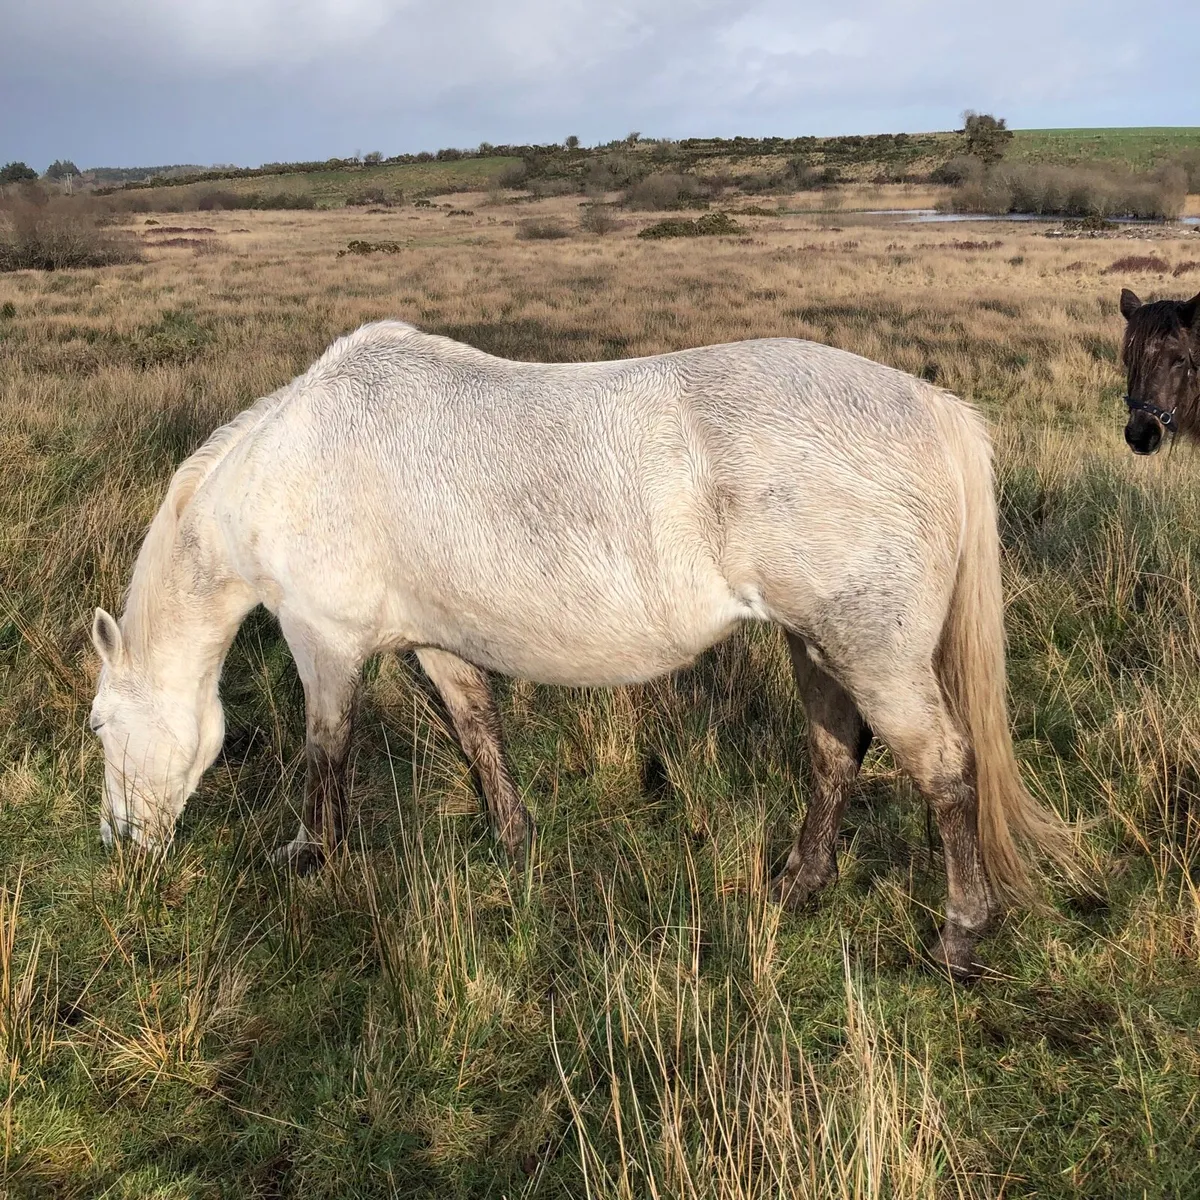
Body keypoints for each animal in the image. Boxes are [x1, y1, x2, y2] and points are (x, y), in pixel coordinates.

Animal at [89, 320, 1072, 978]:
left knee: (944, 770)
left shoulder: (323, 643)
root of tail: (935, 408)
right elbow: (477, 730)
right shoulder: (438, 642)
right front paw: (514, 842)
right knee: (835, 754)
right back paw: (799, 886)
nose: (121, 843)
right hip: (818, 647)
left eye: (98, 726)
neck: (295, 459)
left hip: (875, 655)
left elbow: (325, 751)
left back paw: (959, 933)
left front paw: (308, 858)